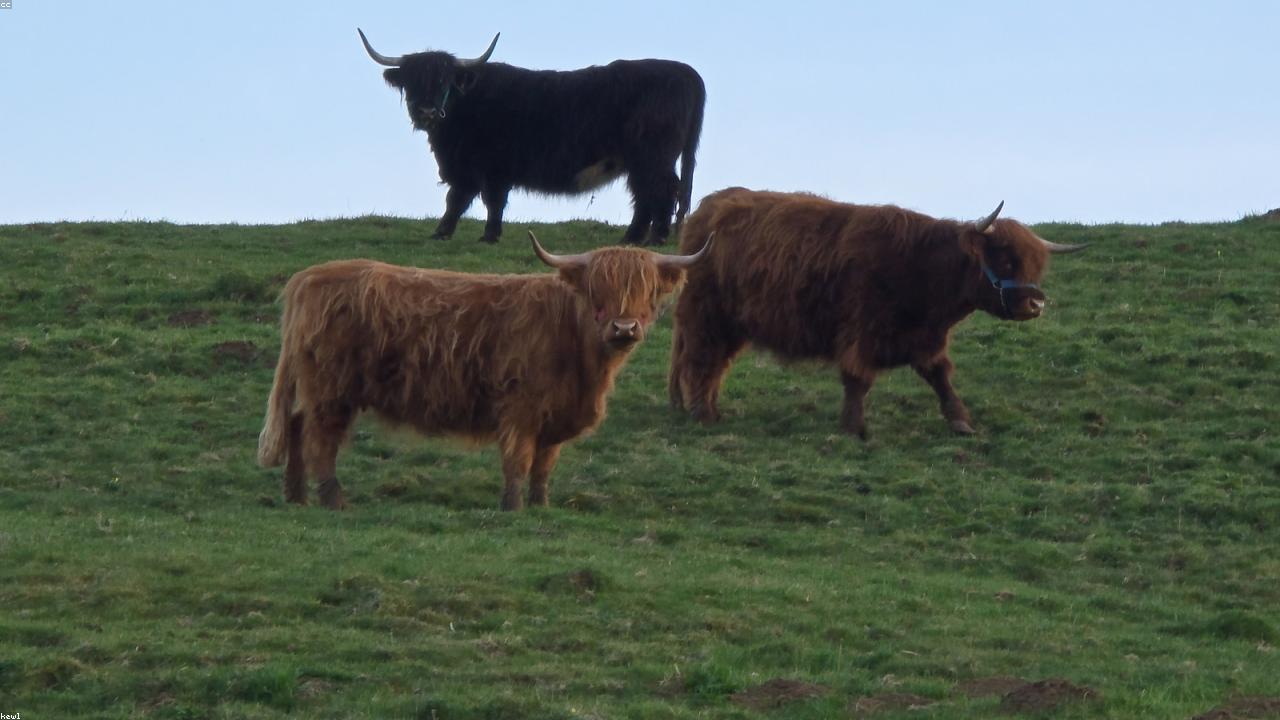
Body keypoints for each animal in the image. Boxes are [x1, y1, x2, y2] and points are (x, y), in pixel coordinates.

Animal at [257, 232, 710, 510]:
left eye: (647, 293)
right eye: (597, 292)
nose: (624, 328)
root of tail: (308, 277)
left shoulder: (555, 415)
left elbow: (543, 466)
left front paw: (541, 507)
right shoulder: (520, 408)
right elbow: (518, 461)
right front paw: (513, 508)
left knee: (296, 425)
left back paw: (295, 496)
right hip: (331, 390)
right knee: (319, 440)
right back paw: (332, 500)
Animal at [359, 29, 707, 246]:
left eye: (444, 80)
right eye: (411, 82)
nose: (427, 111)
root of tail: (685, 72)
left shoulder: (484, 166)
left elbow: (475, 199)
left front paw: (468, 234)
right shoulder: (480, 168)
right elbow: (474, 200)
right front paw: (465, 234)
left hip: (653, 156)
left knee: (662, 191)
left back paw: (653, 238)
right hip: (644, 160)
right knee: (647, 194)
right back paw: (634, 239)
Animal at [668, 188, 1086, 438]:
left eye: (1035, 265)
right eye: (1004, 259)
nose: (1034, 304)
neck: (922, 269)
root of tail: (708, 207)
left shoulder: (926, 338)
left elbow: (940, 376)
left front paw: (960, 420)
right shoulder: (861, 331)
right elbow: (858, 379)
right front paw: (854, 427)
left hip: (732, 324)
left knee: (715, 363)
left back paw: (708, 408)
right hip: (707, 316)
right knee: (700, 359)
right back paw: (702, 413)